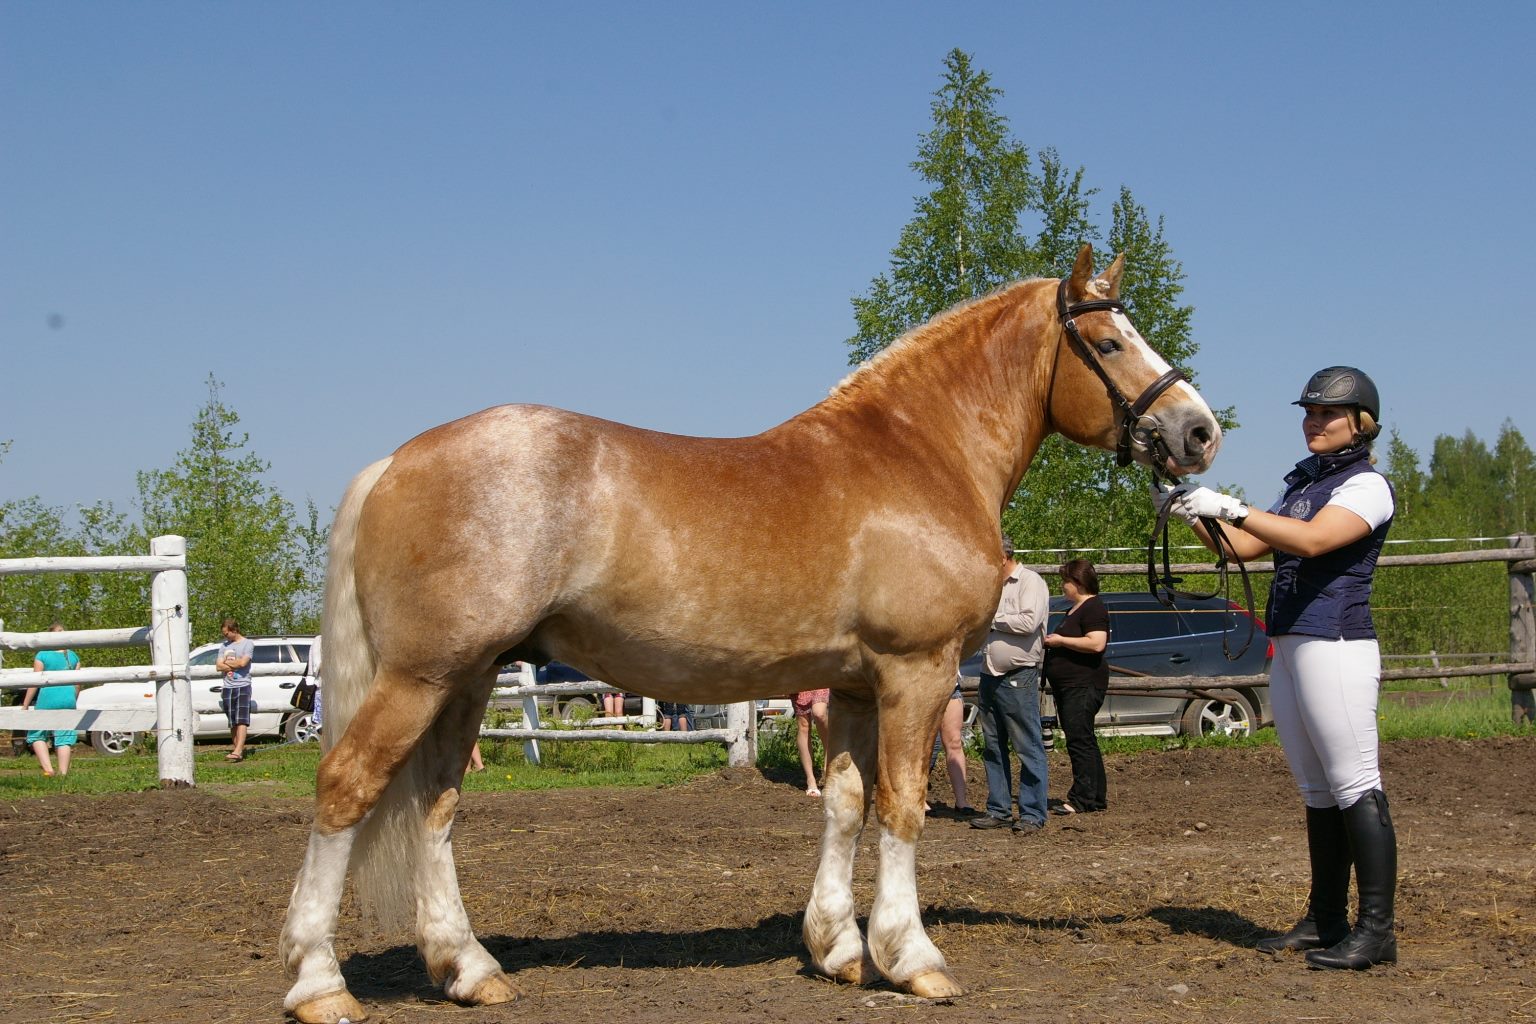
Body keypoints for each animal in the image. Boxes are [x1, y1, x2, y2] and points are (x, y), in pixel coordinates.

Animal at [279, 244, 1222, 1019]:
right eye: (1108, 344)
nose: (1199, 431)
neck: (920, 454)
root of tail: (395, 462)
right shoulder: (914, 674)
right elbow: (904, 809)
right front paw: (912, 958)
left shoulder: (853, 685)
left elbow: (846, 805)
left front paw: (840, 949)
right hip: (422, 678)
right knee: (347, 786)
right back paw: (319, 984)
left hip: (467, 681)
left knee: (436, 807)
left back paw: (468, 969)